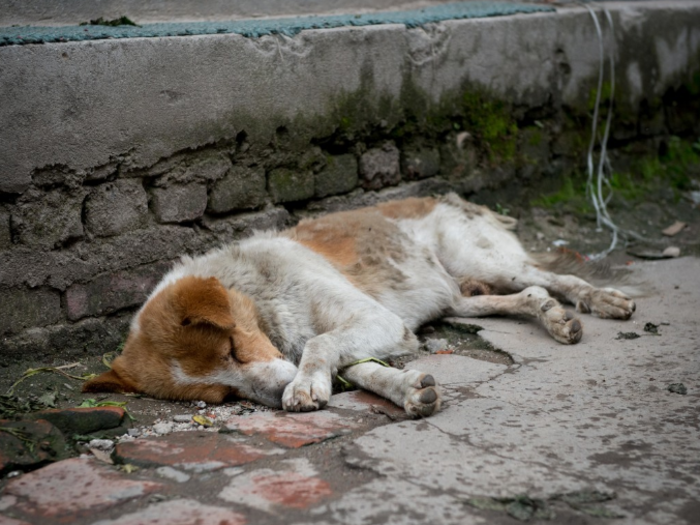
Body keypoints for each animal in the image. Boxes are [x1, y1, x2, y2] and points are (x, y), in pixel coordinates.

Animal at [82, 193, 636, 418]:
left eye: (234, 349)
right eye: (223, 394)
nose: (275, 393)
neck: (260, 295)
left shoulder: (371, 318)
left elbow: (322, 344)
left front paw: (305, 384)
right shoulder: (379, 330)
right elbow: (360, 369)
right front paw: (408, 389)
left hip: (481, 257)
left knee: (555, 278)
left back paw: (598, 301)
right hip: (453, 298)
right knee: (528, 296)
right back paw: (552, 315)